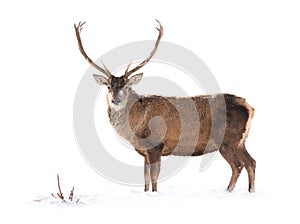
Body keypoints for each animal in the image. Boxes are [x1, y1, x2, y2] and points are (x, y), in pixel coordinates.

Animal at [73, 20, 255, 193]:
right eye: (109, 87)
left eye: (126, 86)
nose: (114, 99)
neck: (135, 126)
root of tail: (250, 107)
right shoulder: (144, 152)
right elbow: (145, 178)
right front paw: (146, 192)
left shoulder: (155, 145)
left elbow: (154, 176)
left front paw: (155, 194)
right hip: (240, 140)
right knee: (251, 162)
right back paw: (249, 191)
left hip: (227, 139)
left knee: (238, 165)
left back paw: (229, 191)